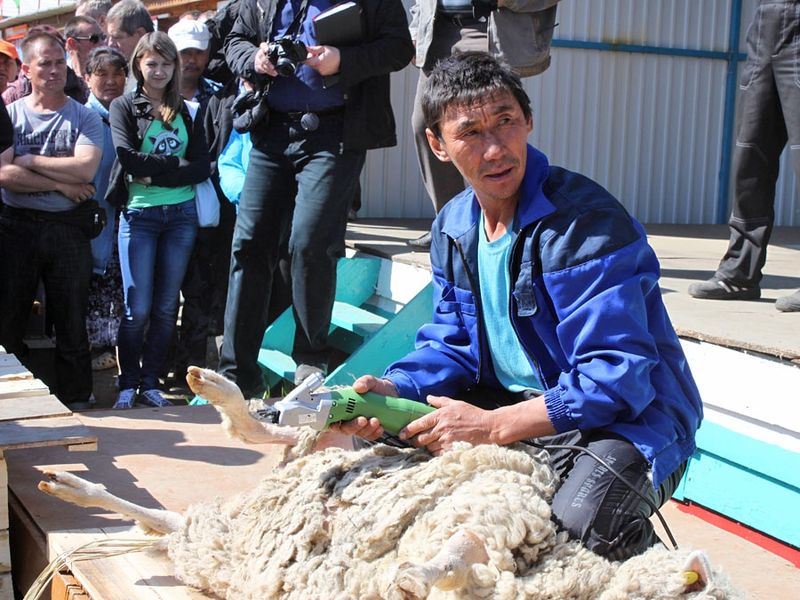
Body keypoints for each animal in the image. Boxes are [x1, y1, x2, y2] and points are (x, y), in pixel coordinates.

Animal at [36, 366, 736, 600]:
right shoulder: (505, 506)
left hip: (226, 540)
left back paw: (71, 488)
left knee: (165, 519)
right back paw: (221, 389)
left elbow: (459, 558)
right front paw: (415, 576)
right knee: (277, 431)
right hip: (336, 453)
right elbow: (456, 548)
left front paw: (412, 579)